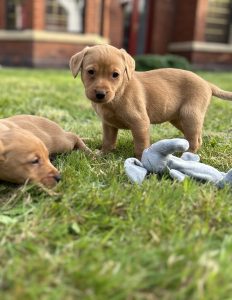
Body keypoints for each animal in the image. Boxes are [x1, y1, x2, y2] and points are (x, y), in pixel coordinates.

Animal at [69, 44, 232, 159]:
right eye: (91, 72)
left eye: (115, 75)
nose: (100, 94)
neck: (119, 93)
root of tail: (207, 83)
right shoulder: (109, 125)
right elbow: (108, 141)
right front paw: (103, 154)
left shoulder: (140, 123)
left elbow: (141, 145)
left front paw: (142, 160)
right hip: (179, 119)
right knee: (196, 137)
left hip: (190, 115)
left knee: (195, 140)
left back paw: (187, 156)